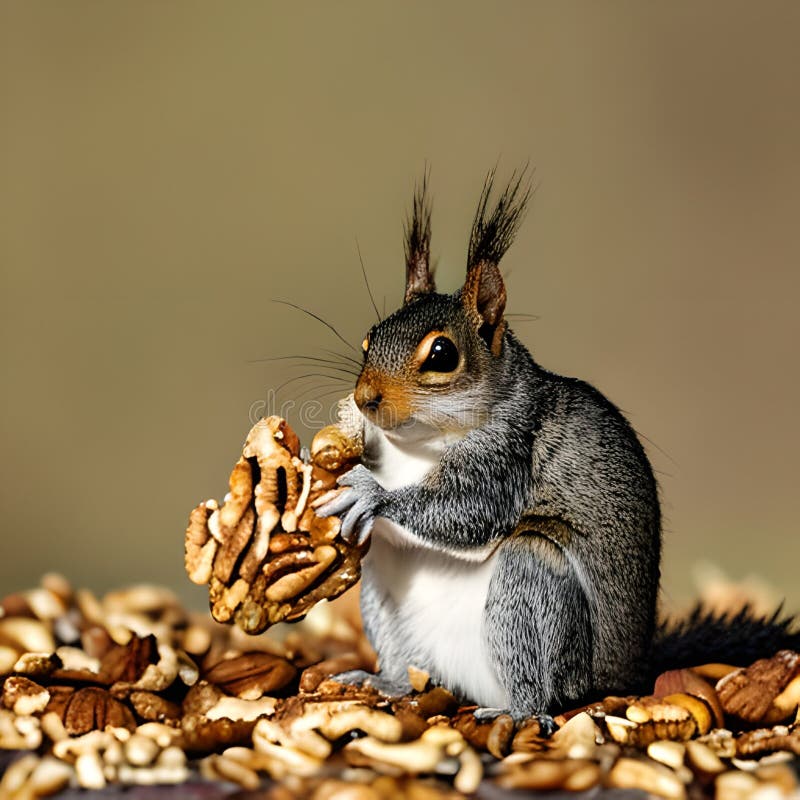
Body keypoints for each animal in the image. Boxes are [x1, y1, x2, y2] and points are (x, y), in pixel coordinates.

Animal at [317, 169, 799, 731]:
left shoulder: (509, 454)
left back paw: (520, 710)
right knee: (408, 669)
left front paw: (372, 495)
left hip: (534, 584)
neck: (414, 444)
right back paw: (384, 682)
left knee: (540, 680)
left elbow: (469, 511)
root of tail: (622, 677)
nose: (365, 398)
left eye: (442, 354)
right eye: (369, 337)